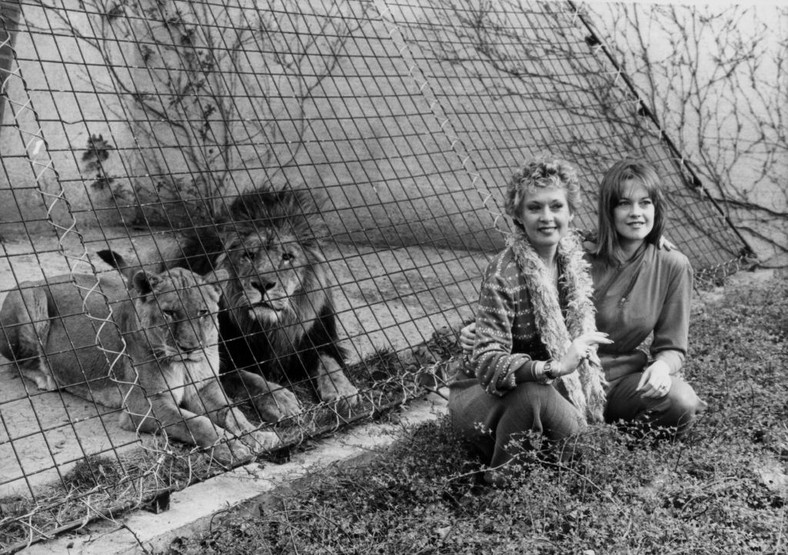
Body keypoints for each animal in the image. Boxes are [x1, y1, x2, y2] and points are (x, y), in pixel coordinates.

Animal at [95, 187, 360, 422]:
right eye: (249, 255)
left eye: (287, 257)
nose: (263, 285)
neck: (266, 328)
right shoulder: (219, 360)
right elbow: (250, 378)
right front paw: (279, 400)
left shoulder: (315, 339)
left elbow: (328, 361)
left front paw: (342, 390)